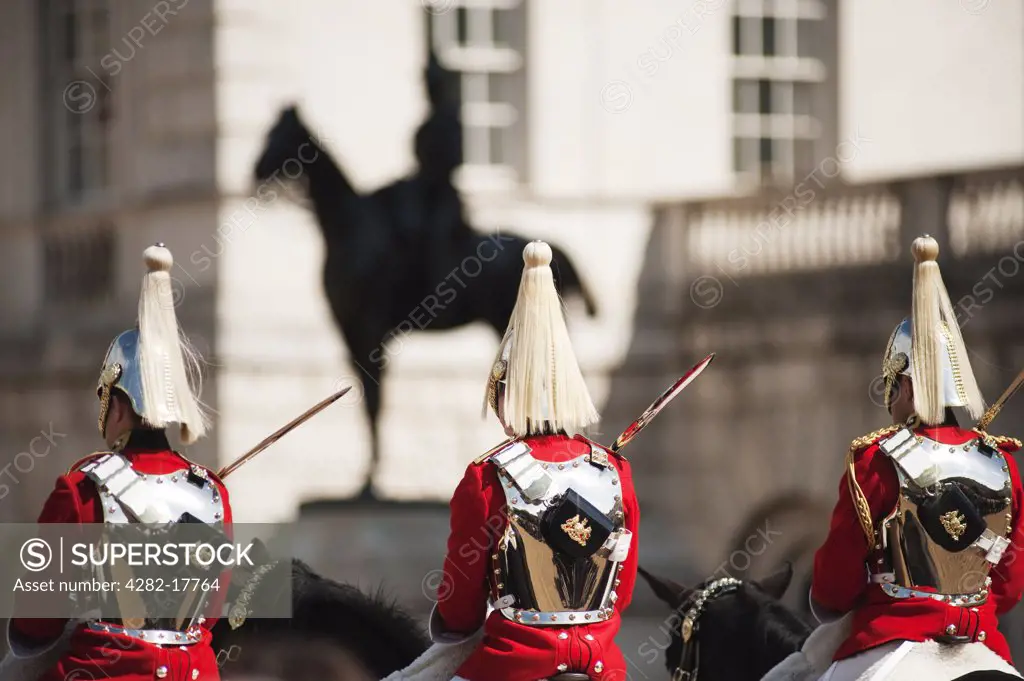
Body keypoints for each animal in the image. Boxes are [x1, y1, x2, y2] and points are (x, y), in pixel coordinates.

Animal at [250, 65, 598, 499]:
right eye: (267, 130)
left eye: (280, 135)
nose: (253, 173)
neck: (348, 227)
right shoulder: (350, 333)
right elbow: (370, 402)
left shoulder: (367, 333)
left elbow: (375, 402)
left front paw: (371, 483)